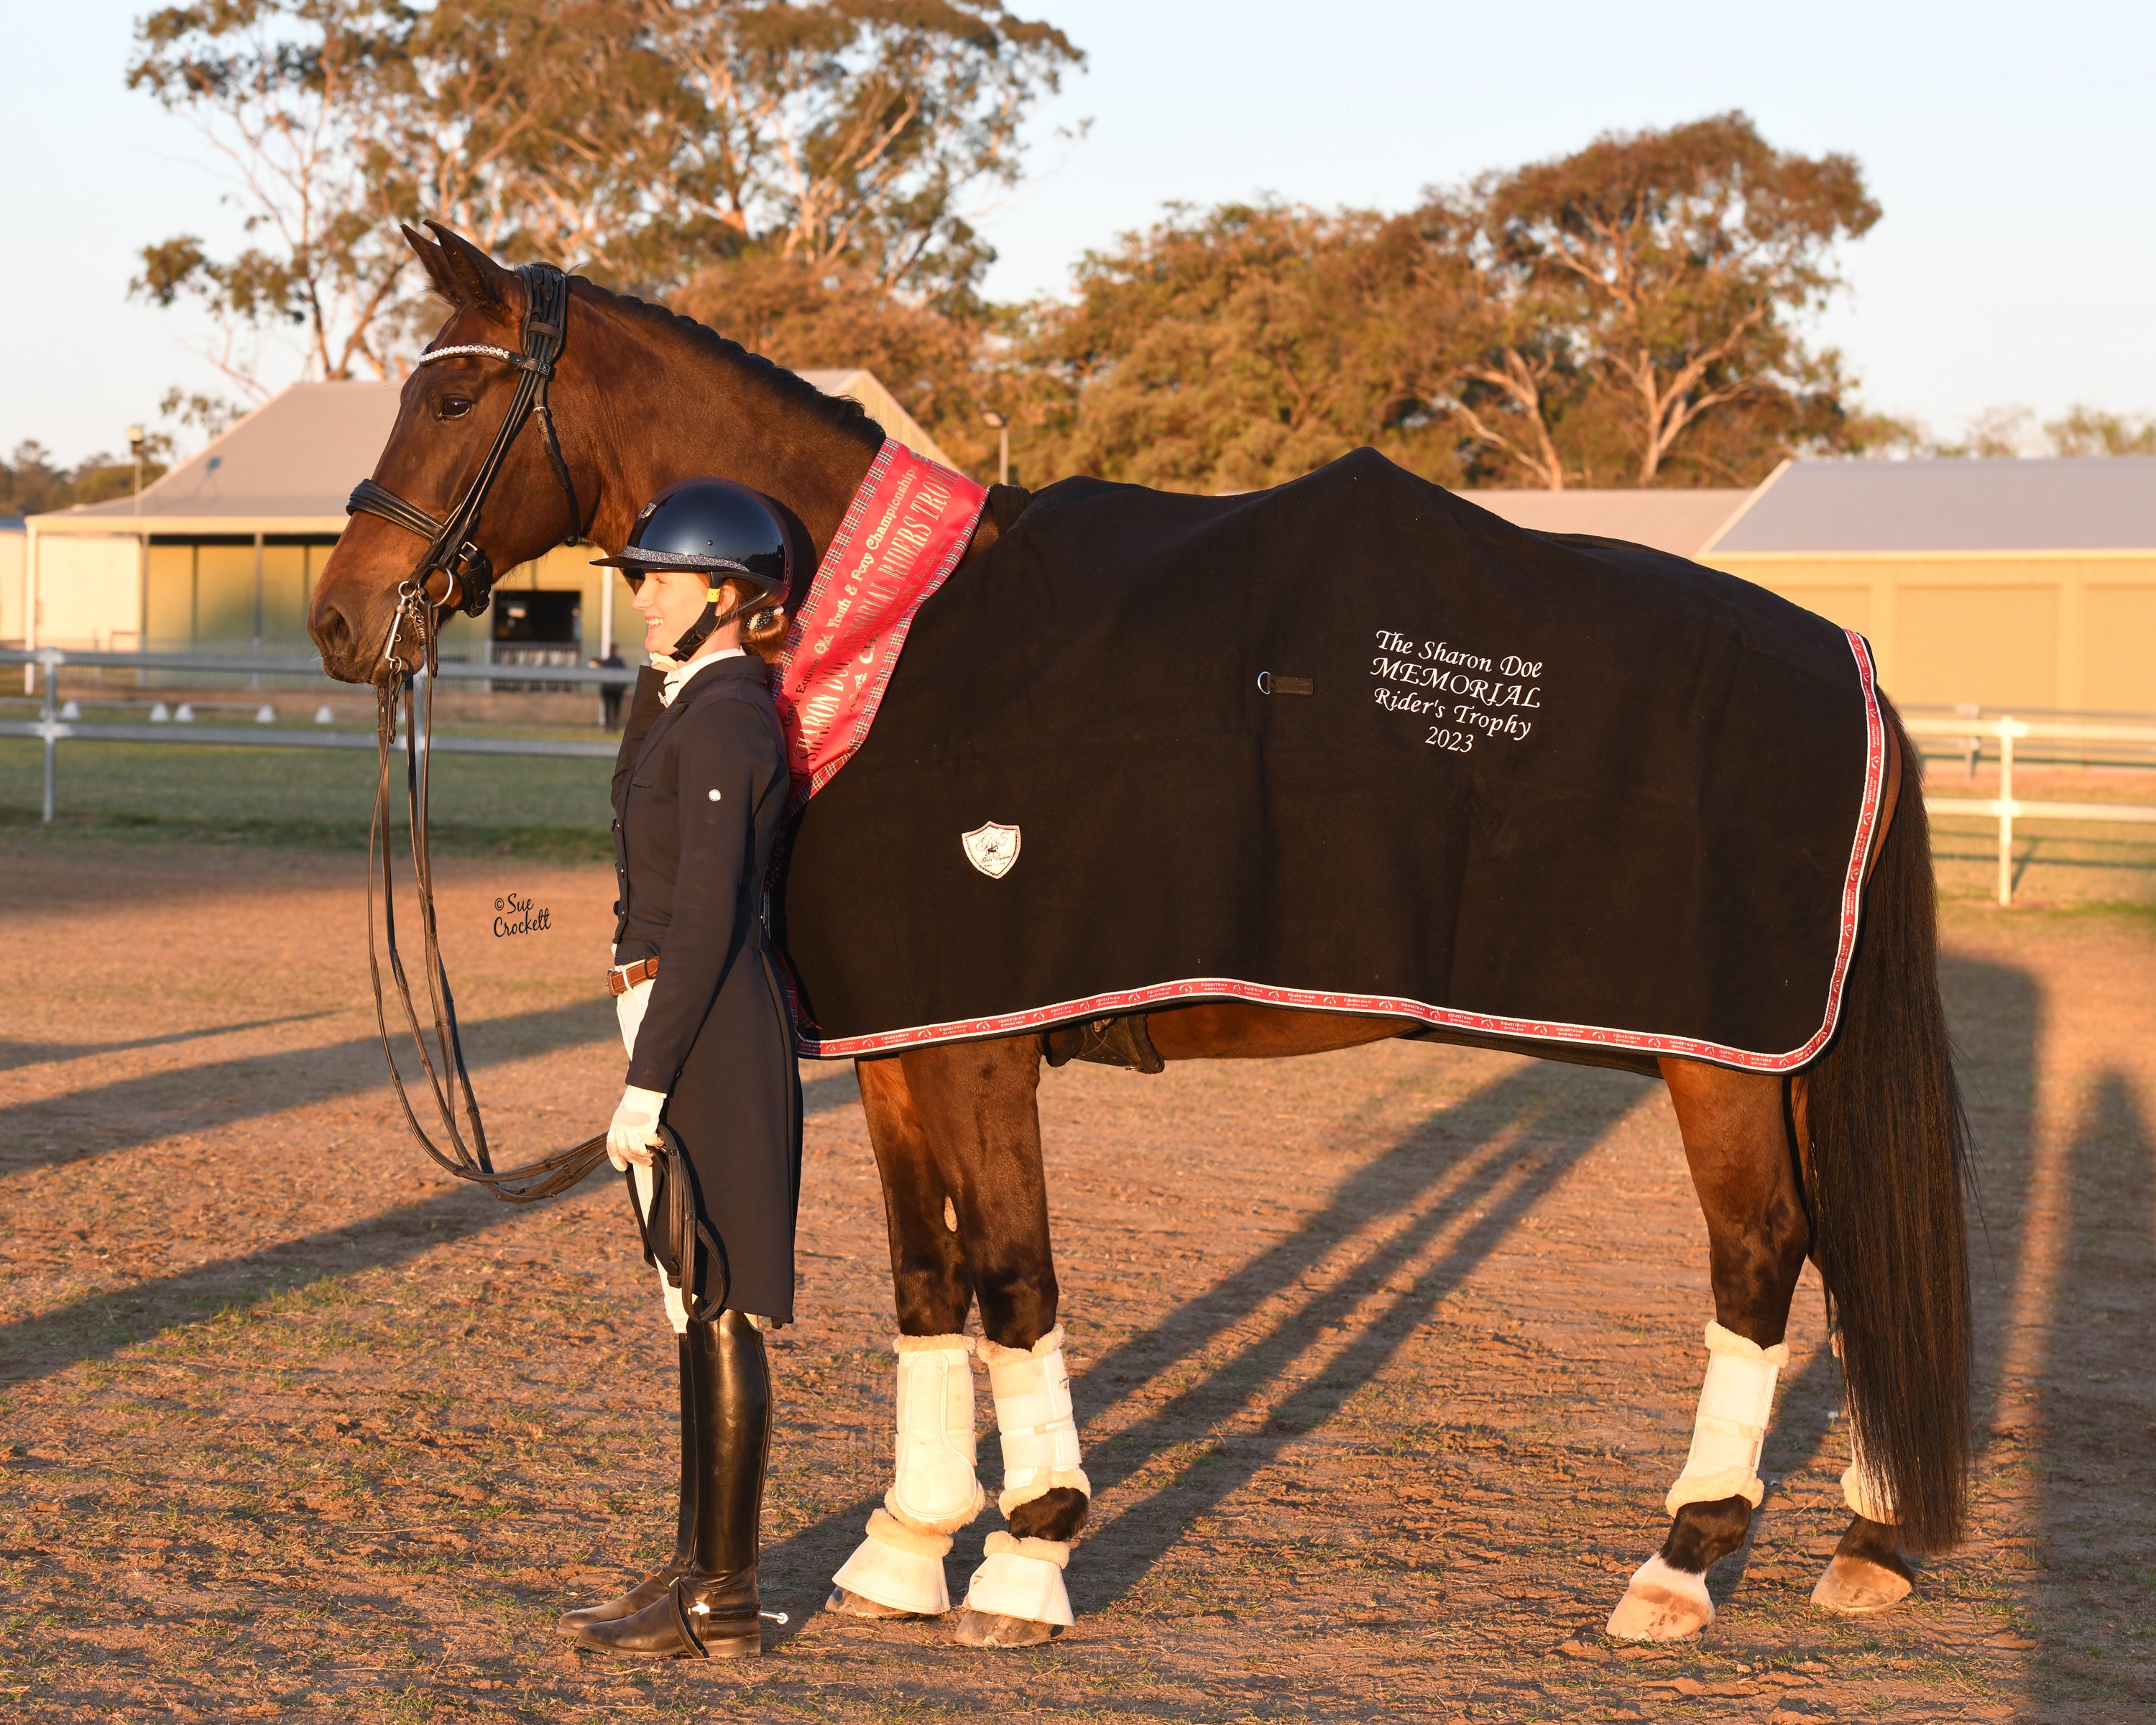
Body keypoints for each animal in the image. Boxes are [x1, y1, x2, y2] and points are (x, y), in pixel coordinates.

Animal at [308, 222, 1975, 1647]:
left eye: (451, 394)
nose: (339, 618)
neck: (884, 640)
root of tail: (1843, 661)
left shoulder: (980, 1049)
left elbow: (1014, 1279)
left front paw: (1027, 1556)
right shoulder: (905, 1050)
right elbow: (925, 1285)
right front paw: (906, 1549)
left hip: (1727, 1064)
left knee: (1764, 1263)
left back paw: (1682, 1565)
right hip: (1780, 1061)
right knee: (1847, 1256)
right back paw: (1870, 1539)